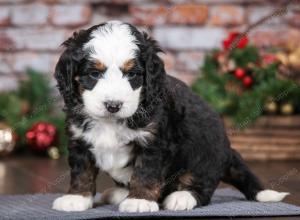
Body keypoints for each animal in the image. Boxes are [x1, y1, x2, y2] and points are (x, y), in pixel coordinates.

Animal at [52, 21, 290, 213]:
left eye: (133, 74)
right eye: (94, 74)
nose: (113, 105)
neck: (111, 122)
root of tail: (227, 151)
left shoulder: (155, 142)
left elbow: (145, 172)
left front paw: (140, 200)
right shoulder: (79, 139)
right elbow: (82, 171)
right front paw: (76, 198)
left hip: (205, 153)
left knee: (202, 186)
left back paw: (181, 197)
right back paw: (118, 193)